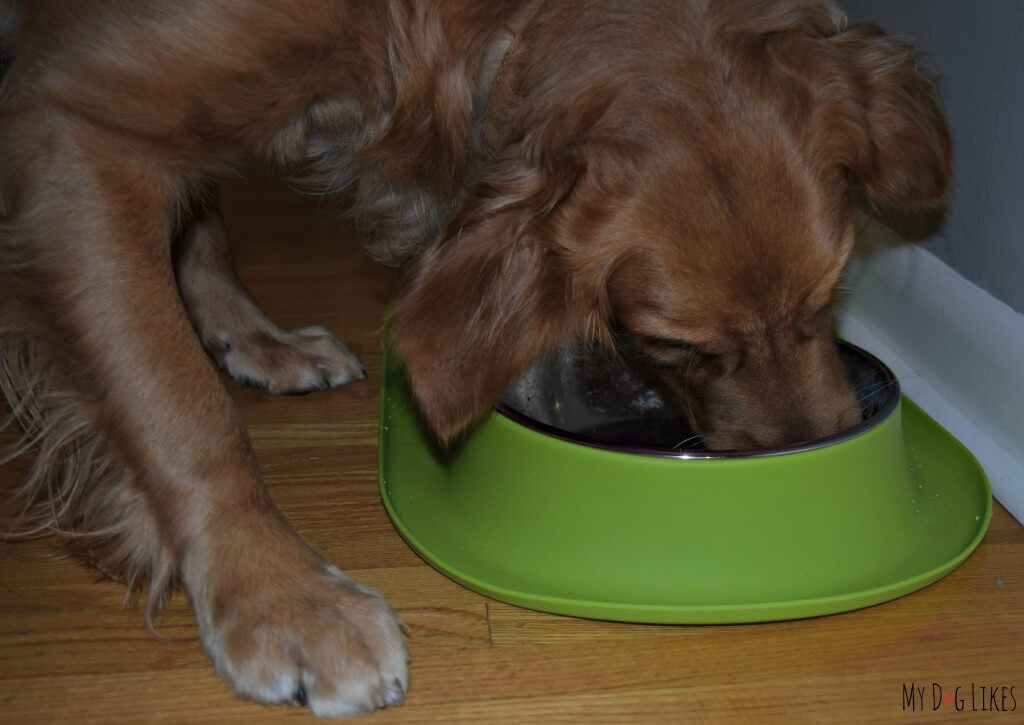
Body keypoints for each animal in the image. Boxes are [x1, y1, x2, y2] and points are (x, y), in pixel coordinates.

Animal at [0, 0, 950, 716]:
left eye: (830, 294)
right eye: (676, 345)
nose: (816, 454)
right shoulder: (65, 126)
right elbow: (177, 402)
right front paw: (283, 596)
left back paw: (259, 336)